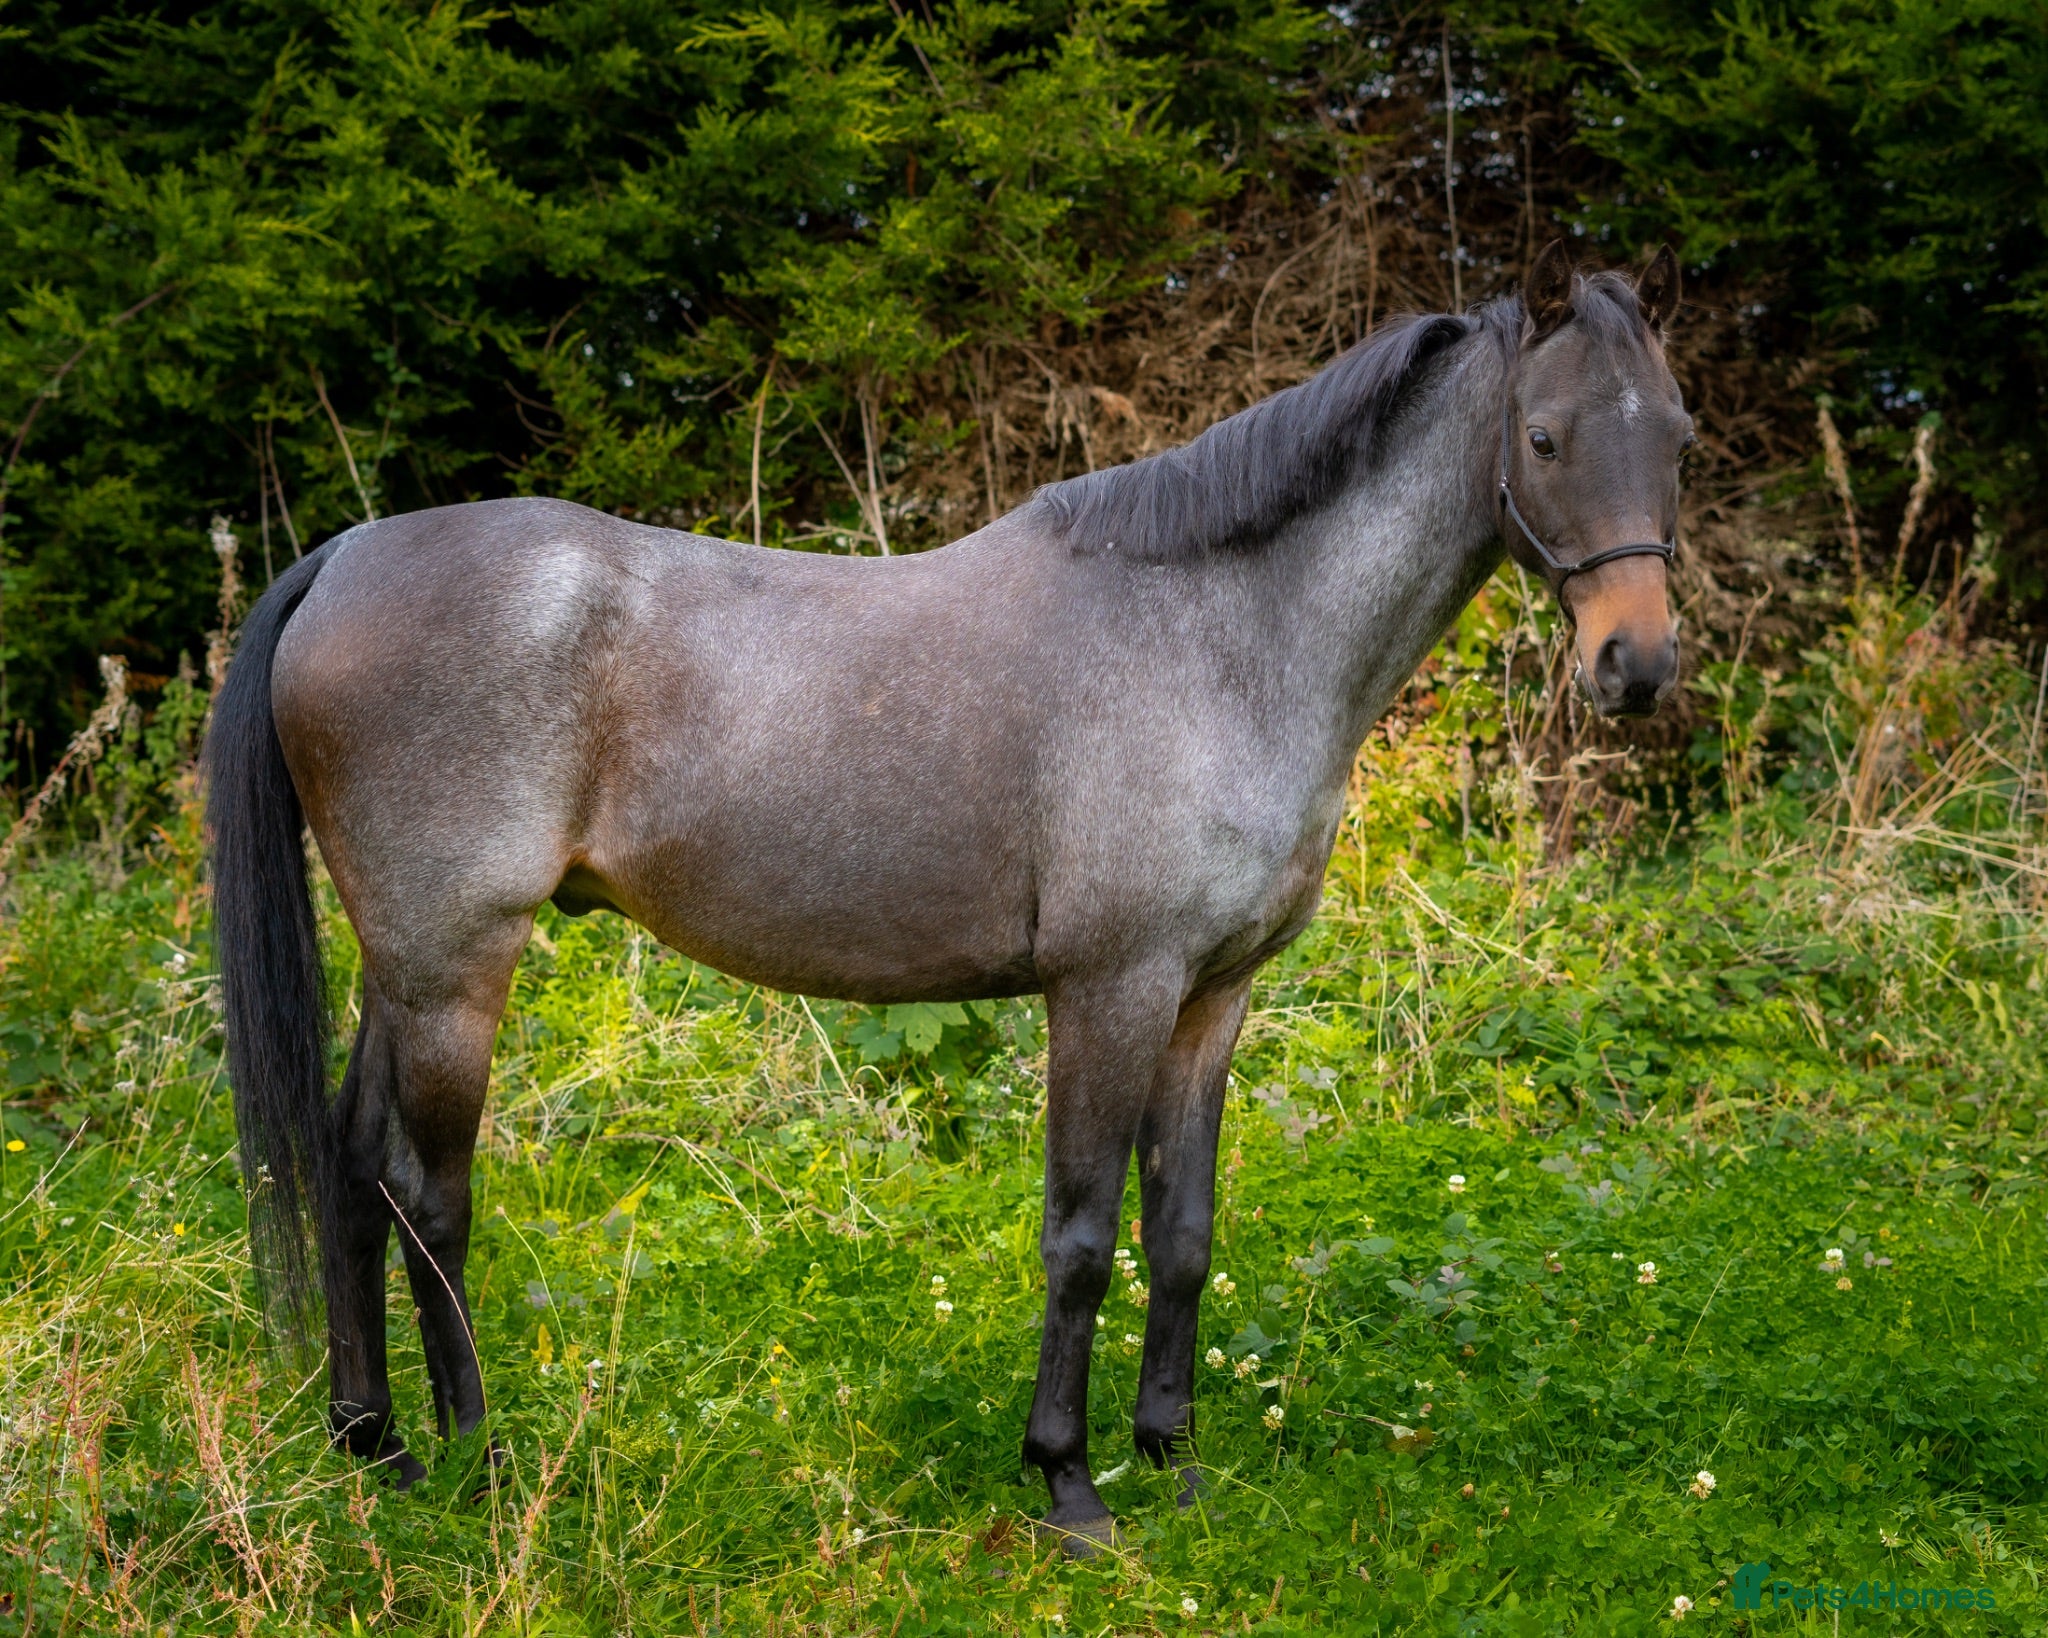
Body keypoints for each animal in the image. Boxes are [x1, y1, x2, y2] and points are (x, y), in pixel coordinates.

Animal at [206, 242, 1688, 1550]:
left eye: (1675, 435)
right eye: (1545, 437)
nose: (1637, 666)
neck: (1220, 635)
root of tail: (346, 557)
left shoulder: (1212, 996)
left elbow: (1182, 1231)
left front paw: (1174, 1464)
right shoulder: (1111, 987)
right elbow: (1082, 1236)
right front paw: (1069, 1486)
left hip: (403, 967)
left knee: (348, 1168)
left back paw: (376, 1446)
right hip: (458, 966)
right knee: (426, 1193)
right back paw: (480, 1458)